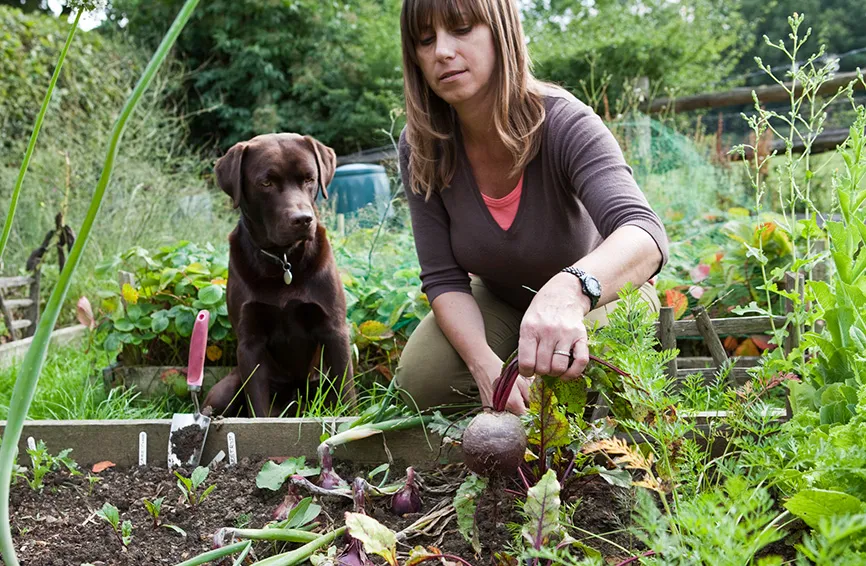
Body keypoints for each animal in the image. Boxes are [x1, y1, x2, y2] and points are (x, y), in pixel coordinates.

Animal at [204, 133, 352, 418]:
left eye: (309, 178)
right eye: (266, 183)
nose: (303, 219)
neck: (283, 260)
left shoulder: (334, 330)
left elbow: (346, 394)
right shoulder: (250, 343)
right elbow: (259, 407)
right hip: (224, 391)